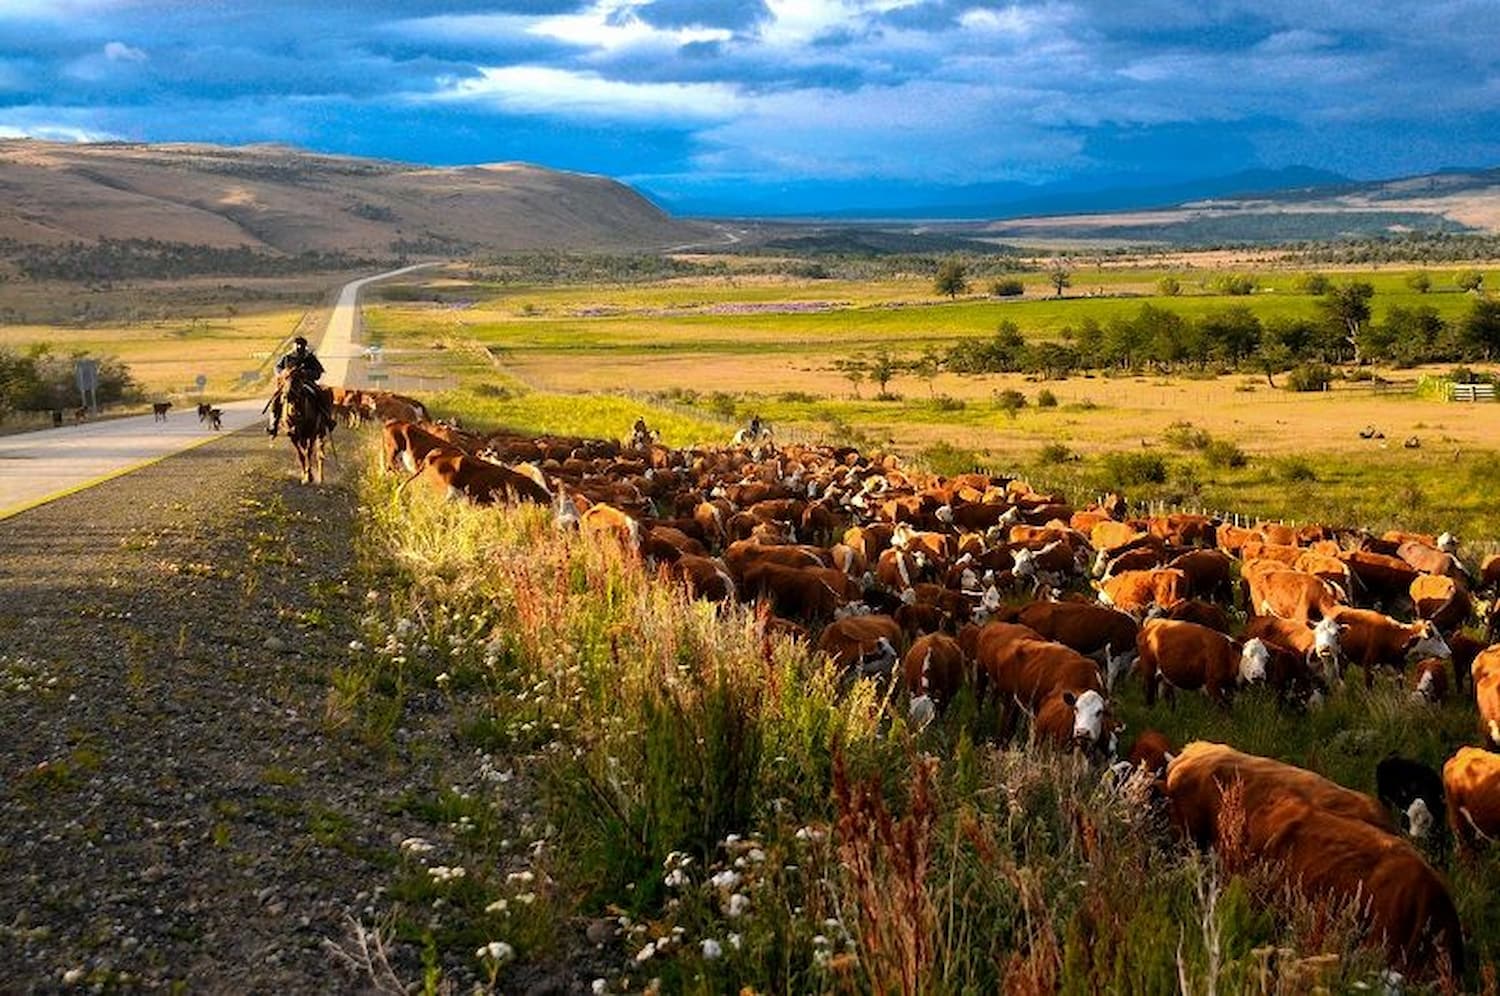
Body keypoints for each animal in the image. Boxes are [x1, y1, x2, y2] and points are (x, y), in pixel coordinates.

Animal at [1134, 619, 1269, 707]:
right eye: (1247, 655)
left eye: (1266, 658)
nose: (1258, 675)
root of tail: (1152, 624)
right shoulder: (1212, 685)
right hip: (1149, 674)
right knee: (1150, 697)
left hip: (1165, 678)